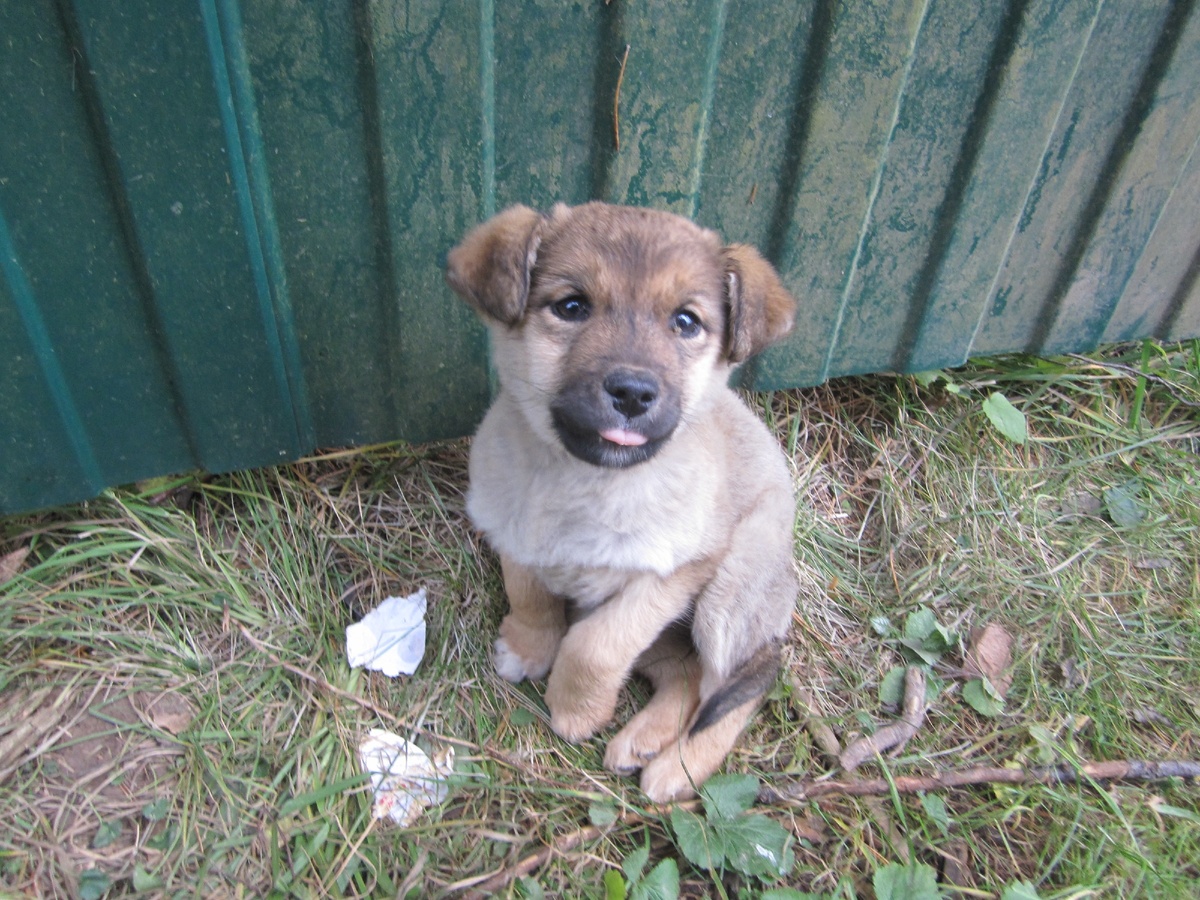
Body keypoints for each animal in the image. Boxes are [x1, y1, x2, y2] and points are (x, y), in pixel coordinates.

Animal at [446, 200, 801, 801]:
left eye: (686, 322)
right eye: (571, 306)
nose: (633, 393)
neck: (589, 483)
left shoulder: (676, 574)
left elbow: (597, 644)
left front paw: (574, 709)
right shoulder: (511, 530)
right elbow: (530, 595)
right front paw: (529, 647)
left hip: (730, 595)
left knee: (733, 691)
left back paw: (678, 767)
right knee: (687, 675)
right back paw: (645, 737)